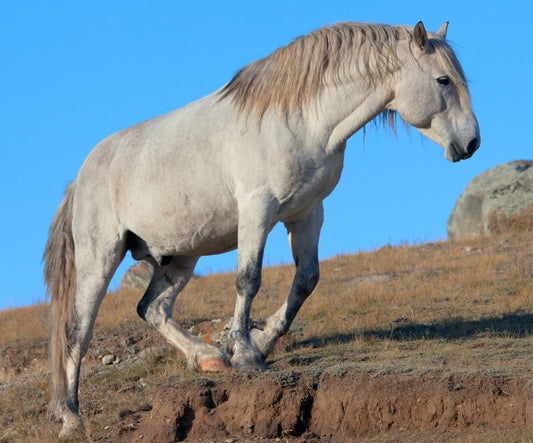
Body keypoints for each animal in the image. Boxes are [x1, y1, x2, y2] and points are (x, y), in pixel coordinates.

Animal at [44, 22, 478, 438]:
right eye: (443, 80)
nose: (472, 142)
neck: (300, 120)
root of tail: (80, 179)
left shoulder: (307, 214)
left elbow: (306, 280)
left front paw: (262, 341)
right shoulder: (257, 211)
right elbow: (248, 279)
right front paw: (247, 355)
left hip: (180, 257)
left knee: (152, 308)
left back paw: (208, 358)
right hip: (100, 259)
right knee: (77, 331)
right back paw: (72, 419)